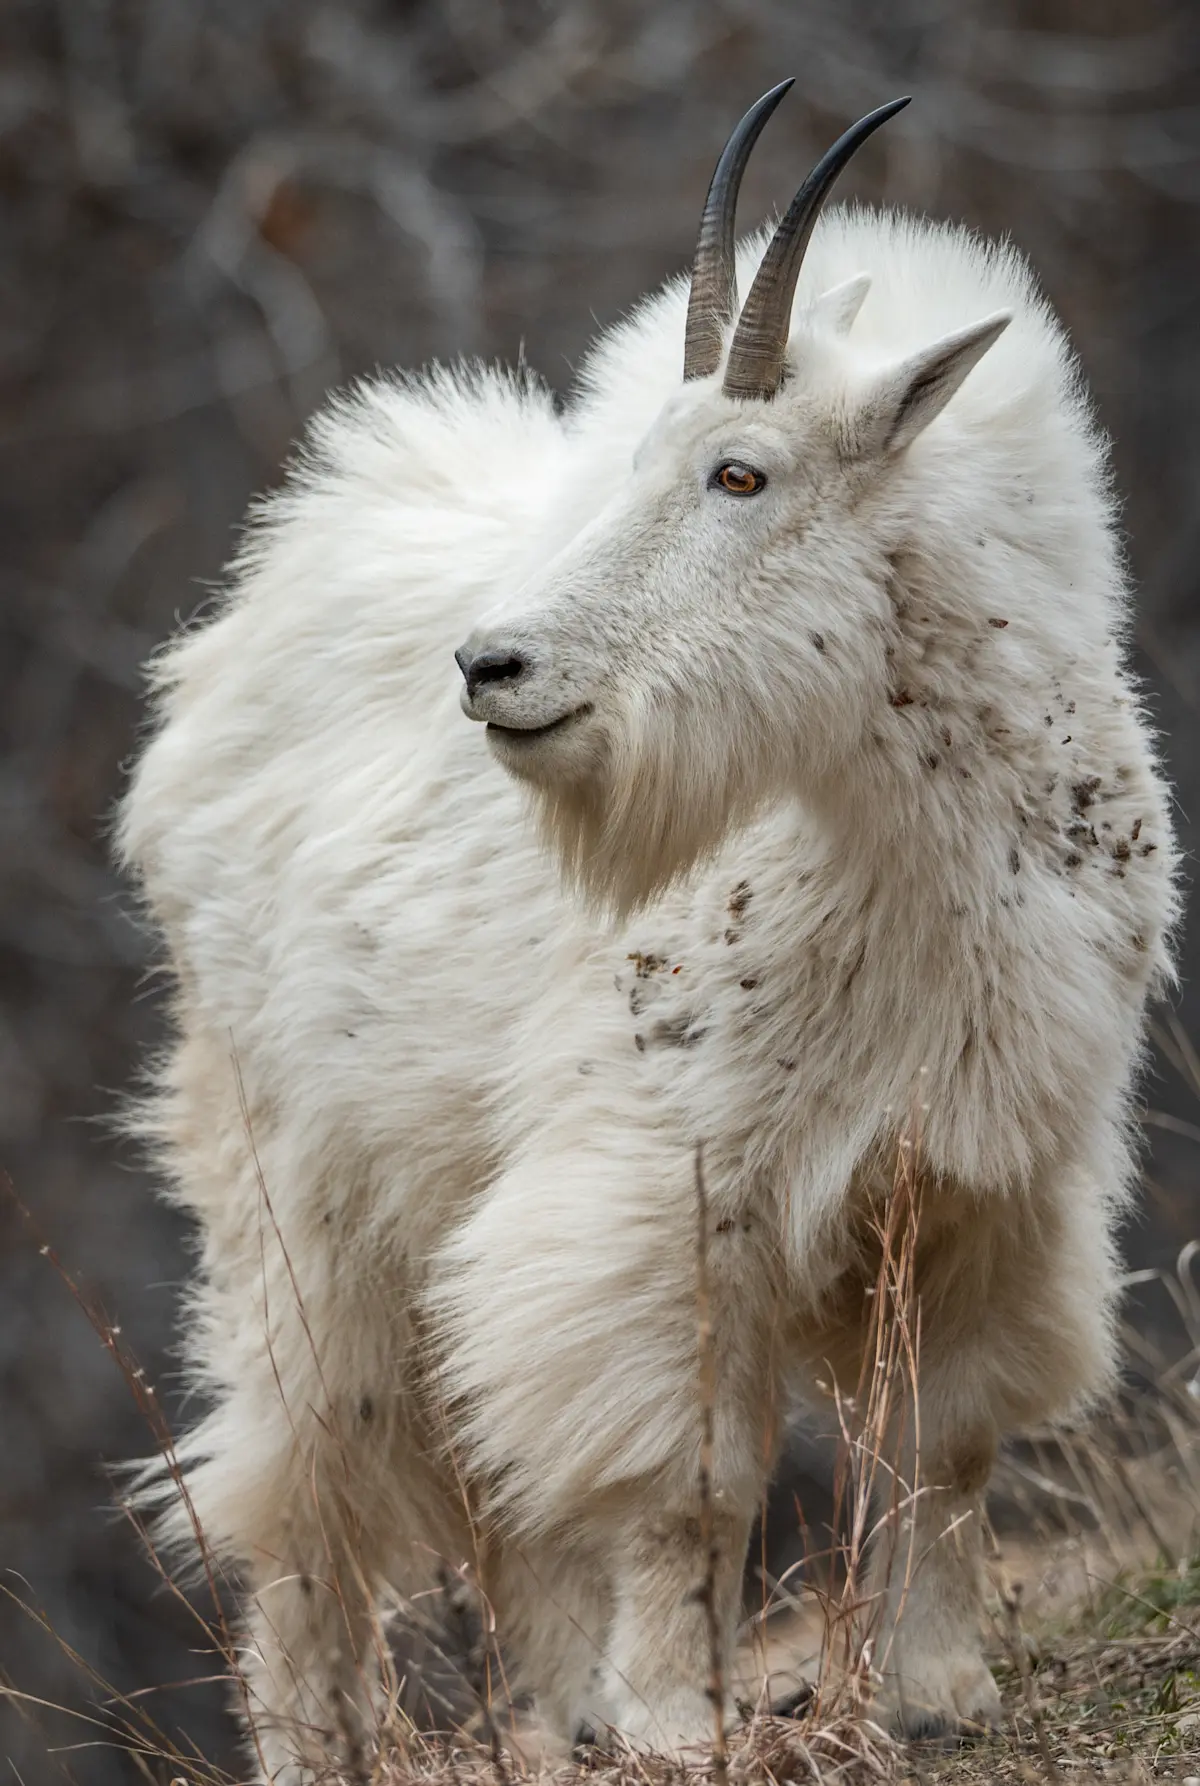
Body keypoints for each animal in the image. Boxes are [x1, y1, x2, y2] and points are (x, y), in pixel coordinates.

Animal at [118, 81, 1178, 1781]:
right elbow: (692, 1477)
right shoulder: (668, 1190)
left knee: (497, 1505)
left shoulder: (989, 1187)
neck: (903, 853)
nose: (491, 664)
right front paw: (685, 1719)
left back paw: (559, 1718)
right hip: (294, 1186)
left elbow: (943, 1441)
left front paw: (940, 1693)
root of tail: (233, 634)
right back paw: (323, 1739)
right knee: (312, 1477)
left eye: (741, 474)